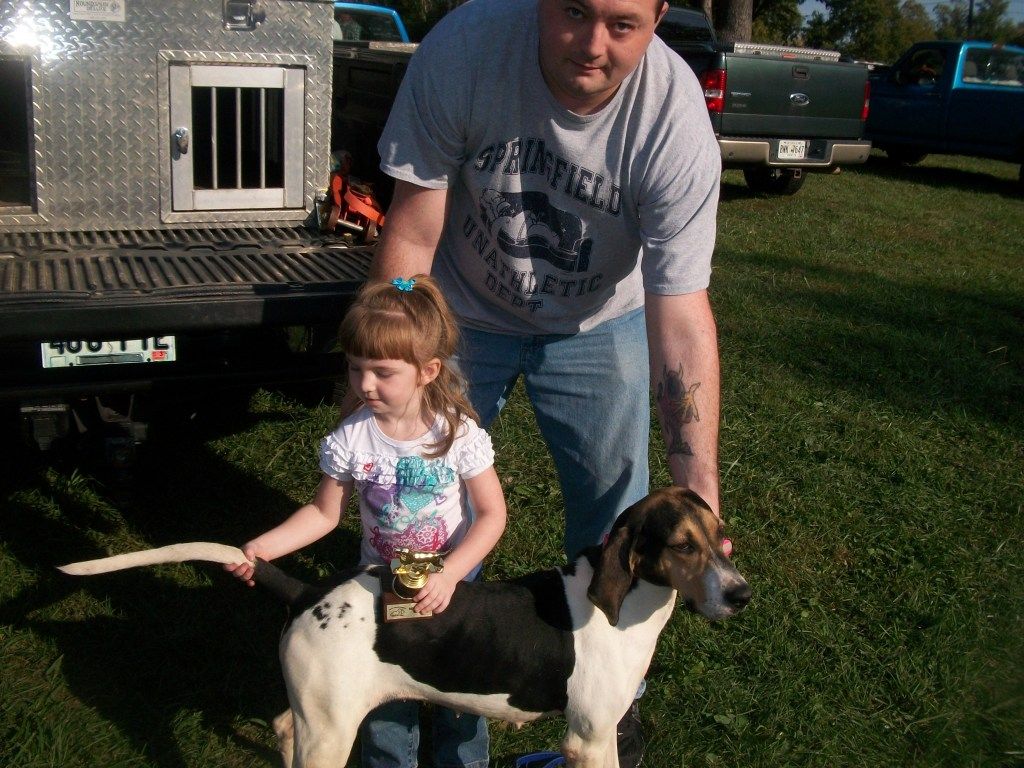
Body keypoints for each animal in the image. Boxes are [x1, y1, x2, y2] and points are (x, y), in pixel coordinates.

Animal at [58, 486, 750, 768]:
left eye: (720, 538)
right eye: (682, 546)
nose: (741, 595)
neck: (626, 604)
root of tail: (312, 591)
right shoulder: (587, 738)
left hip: (320, 713)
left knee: (282, 727)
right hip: (331, 730)